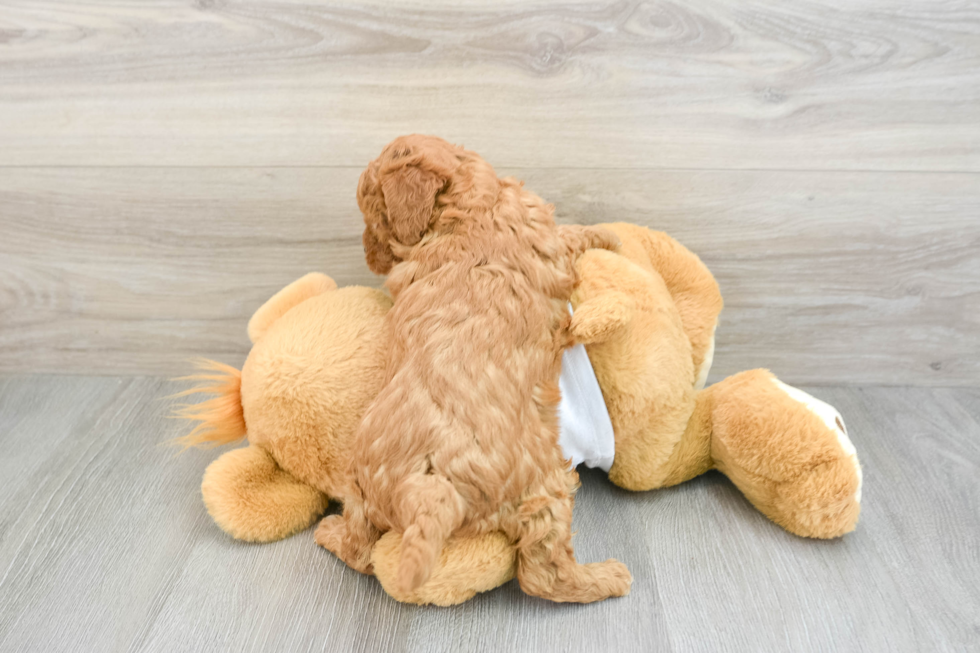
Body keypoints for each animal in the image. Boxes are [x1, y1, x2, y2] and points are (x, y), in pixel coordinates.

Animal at [318, 135, 632, 604]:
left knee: (362, 547)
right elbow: (575, 233)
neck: (469, 207)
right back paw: (607, 578)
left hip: (362, 481)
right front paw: (611, 235)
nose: (370, 258)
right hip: (544, 485)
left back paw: (330, 533)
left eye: (374, 217)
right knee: (543, 574)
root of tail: (428, 488)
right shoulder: (549, 238)